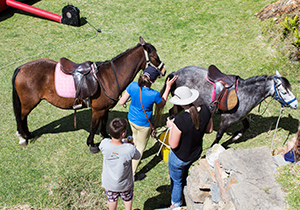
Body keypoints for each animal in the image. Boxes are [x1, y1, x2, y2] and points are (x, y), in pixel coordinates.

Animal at [12, 36, 166, 153]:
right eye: (154, 56)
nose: (164, 70)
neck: (109, 77)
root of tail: (21, 68)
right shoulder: (97, 110)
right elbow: (93, 126)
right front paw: (91, 144)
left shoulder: (104, 109)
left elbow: (104, 122)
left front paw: (105, 135)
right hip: (29, 103)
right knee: (21, 117)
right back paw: (23, 138)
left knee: (23, 118)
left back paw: (28, 134)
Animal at [159, 66, 298, 145]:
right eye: (284, 92)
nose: (296, 104)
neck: (244, 94)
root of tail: (176, 73)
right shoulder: (226, 120)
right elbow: (218, 136)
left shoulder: (241, 117)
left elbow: (246, 126)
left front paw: (236, 136)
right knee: (172, 112)